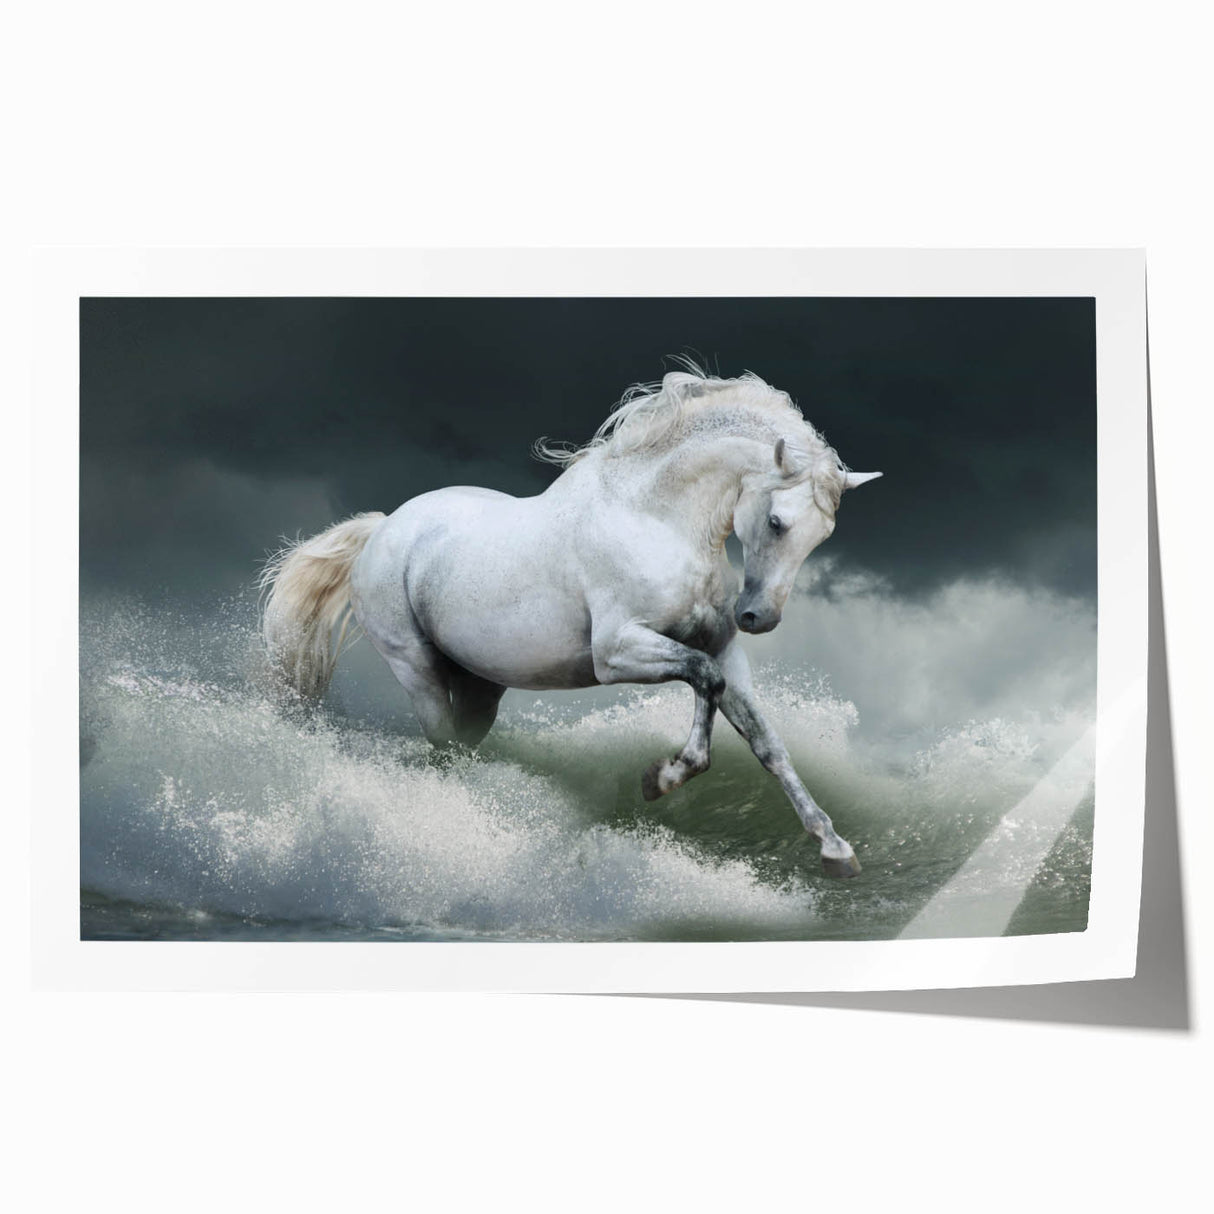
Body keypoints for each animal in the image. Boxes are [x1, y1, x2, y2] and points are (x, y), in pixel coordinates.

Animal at [260, 365, 881, 877]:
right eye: (776, 521)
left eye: (822, 535)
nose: (758, 617)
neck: (654, 519)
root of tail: (382, 528)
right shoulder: (617, 652)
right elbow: (705, 680)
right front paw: (660, 778)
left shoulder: (724, 647)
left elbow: (764, 739)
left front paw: (835, 849)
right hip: (416, 669)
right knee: (441, 745)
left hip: (480, 687)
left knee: (463, 744)